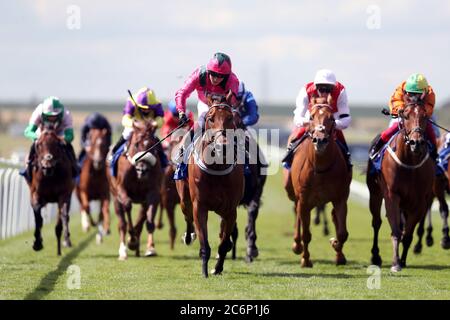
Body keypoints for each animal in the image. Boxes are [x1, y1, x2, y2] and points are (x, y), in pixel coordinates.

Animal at [27, 124, 75, 256]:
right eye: (39, 145)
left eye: (57, 145)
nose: (47, 165)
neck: (50, 175)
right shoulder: (36, 194)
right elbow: (38, 217)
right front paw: (37, 242)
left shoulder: (64, 194)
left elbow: (64, 215)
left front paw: (67, 239)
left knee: (61, 222)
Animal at [108, 120, 163, 260]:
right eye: (137, 143)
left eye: (152, 144)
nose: (142, 170)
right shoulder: (121, 189)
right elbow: (127, 206)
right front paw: (131, 240)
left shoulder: (153, 192)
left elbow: (149, 221)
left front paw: (150, 248)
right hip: (115, 197)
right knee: (122, 223)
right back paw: (124, 250)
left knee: (142, 217)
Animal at [176, 92, 244, 278]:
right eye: (210, 118)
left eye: (230, 117)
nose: (222, 146)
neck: (216, 169)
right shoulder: (200, 206)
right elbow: (204, 242)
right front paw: (205, 271)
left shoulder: (230, 210)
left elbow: (224, 243)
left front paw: (217, 268)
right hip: (184, 198)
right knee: (187, 216)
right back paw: (188, 236)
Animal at [284, 95, 352, 268]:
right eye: (311, 117)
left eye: (331, 118)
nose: (319, 140)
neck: (320, 168)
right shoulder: (304, 199)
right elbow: (306, 234)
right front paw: (305, 260)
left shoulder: (340, 198)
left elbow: (342, 233)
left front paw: (336, 247)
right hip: (293, 192)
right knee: (297, 213)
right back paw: (296, 245)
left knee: (334, 218)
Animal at [368, 102, 434, 272]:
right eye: (405, 115)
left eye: (425, 116)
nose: (416, 142)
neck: (409, 162)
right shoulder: (392, 195)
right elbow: (396, 231)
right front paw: (395, 263)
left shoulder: (420, 202)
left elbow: (408, 234)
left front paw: (402, 260)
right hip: (375, 194)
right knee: (376, 223)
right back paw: (375, 256)